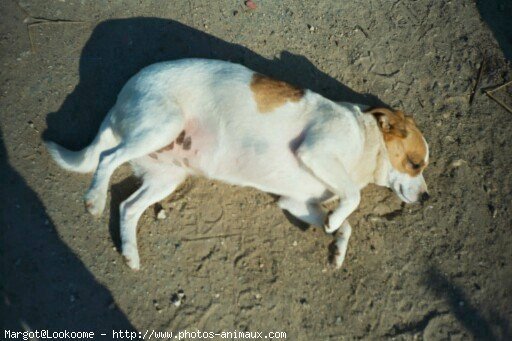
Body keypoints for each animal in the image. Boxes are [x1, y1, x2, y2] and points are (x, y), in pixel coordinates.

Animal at [46, 59, 430, 270]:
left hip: (166, 176)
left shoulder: (296, 202)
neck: (364, 142)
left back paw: (129, 253)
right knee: (108, 158)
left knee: (127, 207)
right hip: (160, 127)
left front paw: (336, 244)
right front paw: (336, 220)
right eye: (415, 164)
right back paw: (95, 199)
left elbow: (345, 224)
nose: (427, 198)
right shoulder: (317, 151)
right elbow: (352, 198)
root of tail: (122, 96)